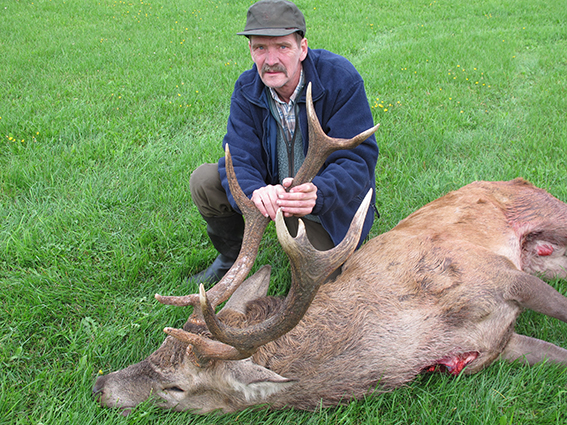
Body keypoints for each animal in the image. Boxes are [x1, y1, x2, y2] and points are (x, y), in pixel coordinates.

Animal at [92, 83, 567, 414]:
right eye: (155, 351)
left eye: (177, 387)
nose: (99, 385)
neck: (419, 336)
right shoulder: (500, 343)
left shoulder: (499, 275)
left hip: (551, 218)